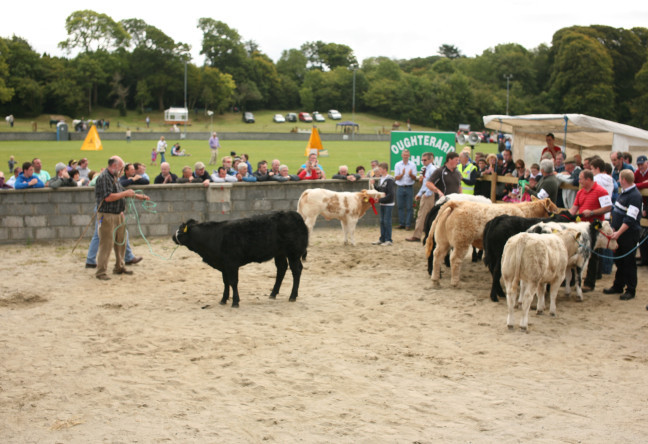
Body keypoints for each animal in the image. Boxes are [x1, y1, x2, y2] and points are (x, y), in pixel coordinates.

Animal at [428, 197, 560, 286]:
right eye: (553, 210)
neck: (525, 212)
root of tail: (457, 203)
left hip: (443, 241)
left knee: (437, 255)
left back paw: (435, 279)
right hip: (462, 242)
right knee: (455, 259)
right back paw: (455, 282)